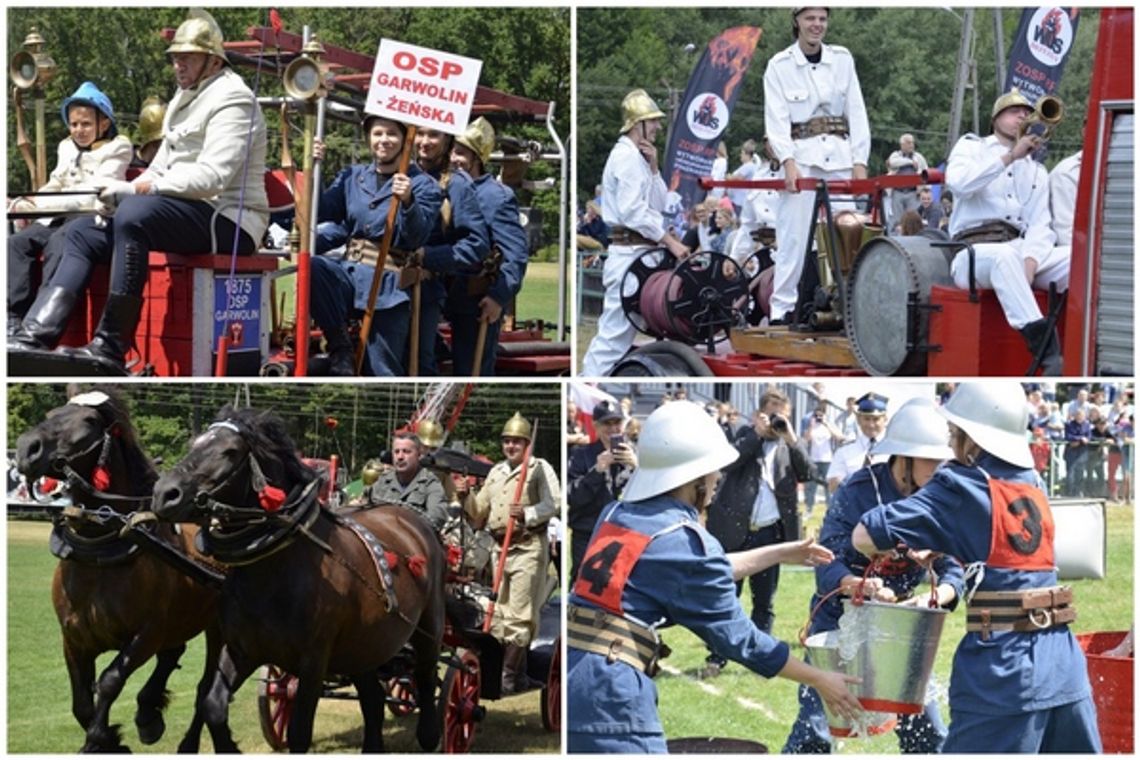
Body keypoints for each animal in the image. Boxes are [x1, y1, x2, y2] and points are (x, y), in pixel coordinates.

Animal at [15, 391, 231, 756]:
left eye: (89, 421)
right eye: (51, 413)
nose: (26, 448)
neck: (99, 553)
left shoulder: (146, 634)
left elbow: (109, 681)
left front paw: (101, 738)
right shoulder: (73, 639)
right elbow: (81, 703)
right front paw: (108, 740)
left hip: (217, 628)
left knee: (204, 688)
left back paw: (183, 739)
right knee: (173, 655)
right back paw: (148, 711)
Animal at [153, 407, 446, 752]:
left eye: (230, 451)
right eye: (193, 443)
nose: (164, 493)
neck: (272, 569)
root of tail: (411, 518)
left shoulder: (313, 663)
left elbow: (299, 732)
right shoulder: (242, 649)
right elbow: (212, 705)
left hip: (429, 627)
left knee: (426, 677)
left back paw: (431, 734)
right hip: (364, 645)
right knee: (373, 698)